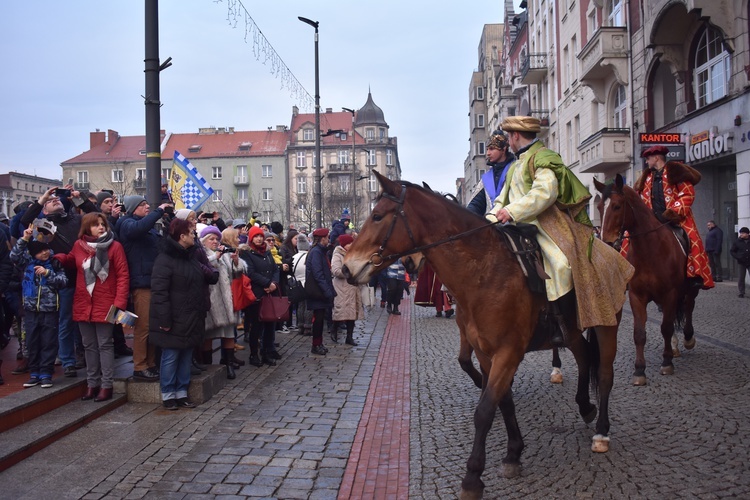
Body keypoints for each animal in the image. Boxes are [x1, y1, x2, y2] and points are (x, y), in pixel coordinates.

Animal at [346, 173, 624, 500]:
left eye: (377, 216)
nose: (347, 267)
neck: (486, 272)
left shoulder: (508, 352)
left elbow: (485, 410)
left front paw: (473, 477)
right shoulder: (484, 352)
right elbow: (502, 400)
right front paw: (514, 452)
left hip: (606, 324)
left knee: (603, 374)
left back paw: (602, 432)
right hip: (571, 331)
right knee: (583, 359)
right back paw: (585, 406)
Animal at [600, 176, 700, 386]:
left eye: (617, 206)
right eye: (598, 207)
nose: (607, 243)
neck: (651, 249)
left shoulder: (670, 293)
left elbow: (666, 327)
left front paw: (666, 362)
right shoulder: (637, 296)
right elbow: (639, 333)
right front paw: (639, 370)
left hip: (690, 288)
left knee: (688, 306)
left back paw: (688, 339)